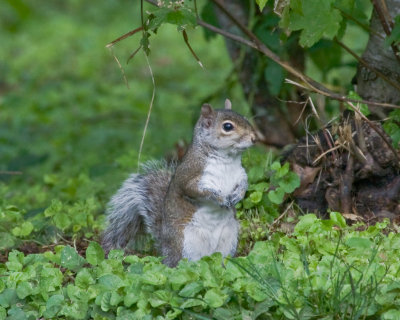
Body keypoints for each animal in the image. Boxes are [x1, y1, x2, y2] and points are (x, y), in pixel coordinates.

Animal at [102, 100, 256, 268]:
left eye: (244, 117)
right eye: (228, 126)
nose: (254, 138)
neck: (227, 160)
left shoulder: (241, 174)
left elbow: (244, 185)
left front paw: (237, 196)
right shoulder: (189, 176)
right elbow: (196, 190)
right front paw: (220, 198)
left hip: (229, 240)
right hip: (184, 244)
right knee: (180, 265)